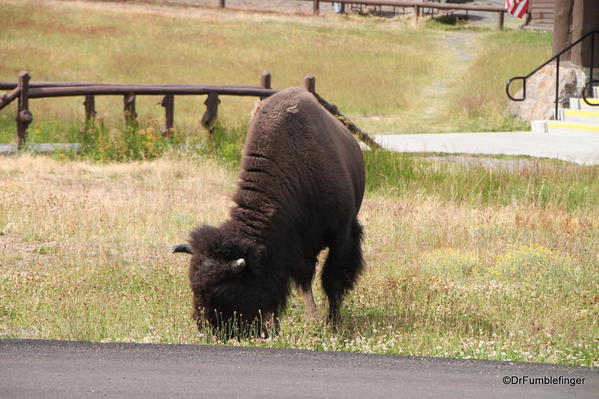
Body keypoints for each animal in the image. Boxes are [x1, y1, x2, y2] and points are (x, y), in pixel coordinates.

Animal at [173, 86, 366, 334]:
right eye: (194, 286)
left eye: (225, 291)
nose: (208, 329)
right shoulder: (293, 249)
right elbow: (303, 279)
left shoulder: (340, 235)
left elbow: (332, 280)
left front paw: (332, 324)